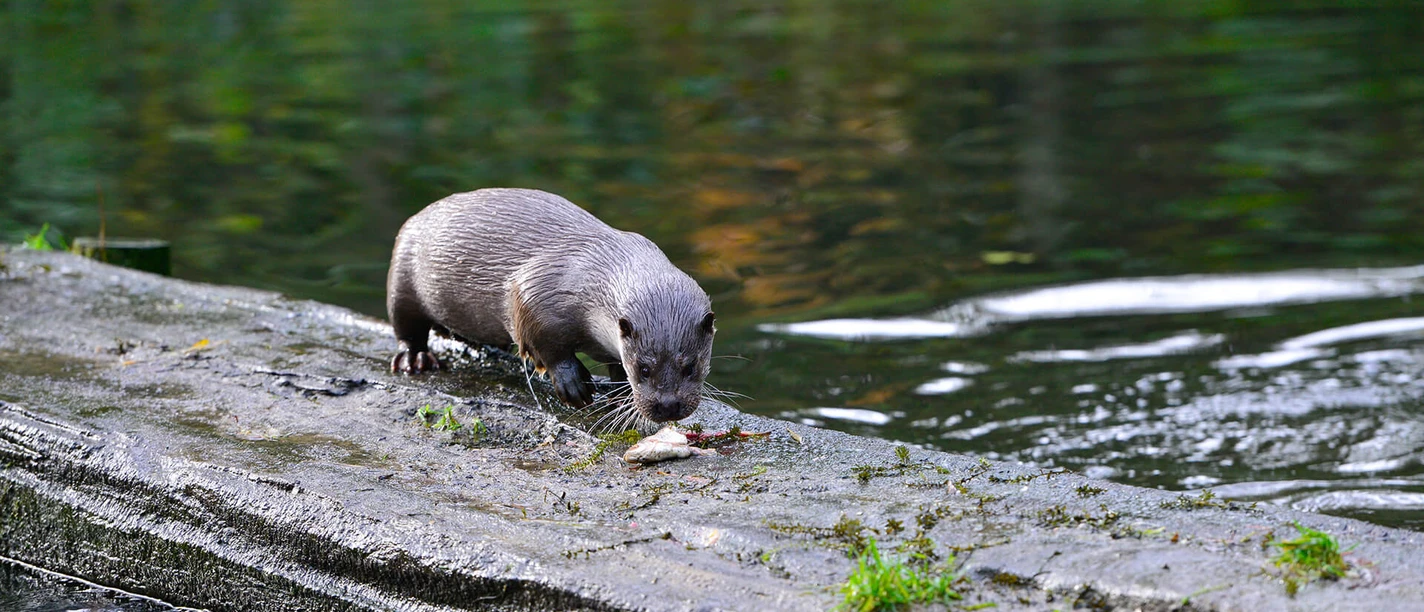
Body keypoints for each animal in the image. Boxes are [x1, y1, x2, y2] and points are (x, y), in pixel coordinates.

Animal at [386, 188, 715, 423]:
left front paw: (620, 395)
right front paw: (574, 385)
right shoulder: (534, 290)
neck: (590, 280)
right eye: (644, 369)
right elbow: (545, 344)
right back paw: (415, 358)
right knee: (406, 326)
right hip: (403, 275)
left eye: (690, 366)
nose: (668, 406)